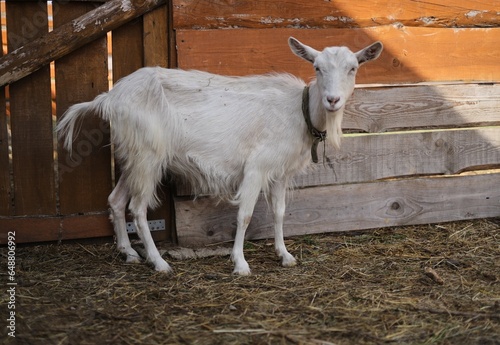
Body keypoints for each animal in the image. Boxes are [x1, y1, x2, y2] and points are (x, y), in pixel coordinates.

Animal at [56, 37, 382, 274]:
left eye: (353, 68)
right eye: (316, 67)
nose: (332, 99)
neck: (298, 111)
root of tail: (110, 97)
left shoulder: (280, 172)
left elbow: (279, 212)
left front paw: (285, 255)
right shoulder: (256, 168)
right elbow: (244, 215)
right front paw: (240, 263)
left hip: (133, 156)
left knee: (116, 199)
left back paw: (128, 253)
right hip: (148, 155)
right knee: (137, 208)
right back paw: (158, 262)